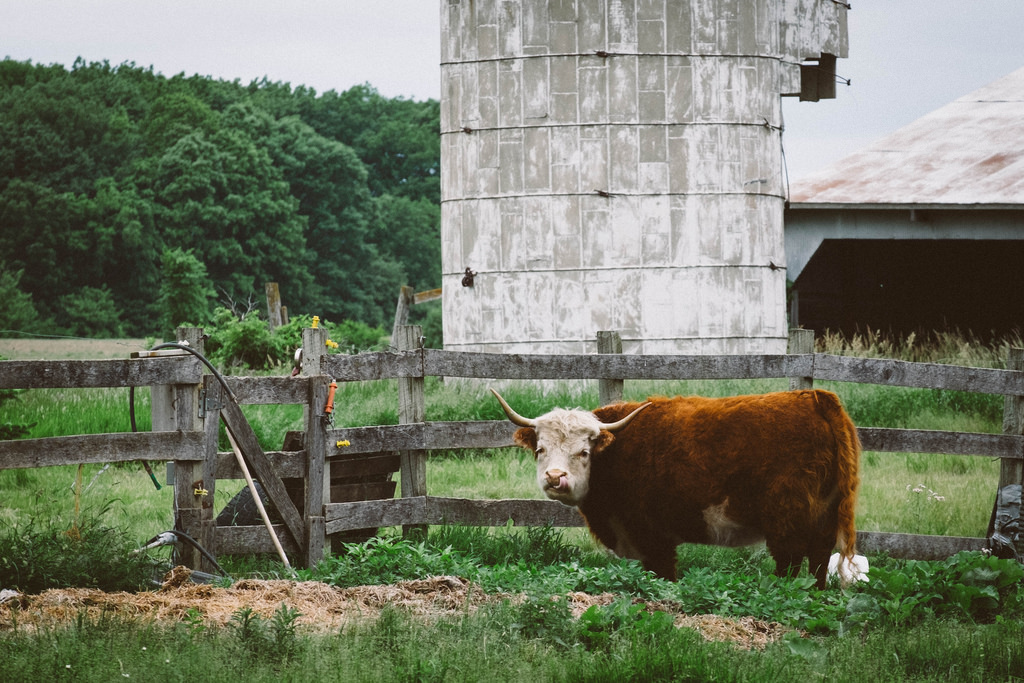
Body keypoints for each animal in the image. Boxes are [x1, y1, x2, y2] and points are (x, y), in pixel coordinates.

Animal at [491, 389, 860, 589]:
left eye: (583, 451)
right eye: (541, 449)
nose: (556, 477)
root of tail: (816, 398)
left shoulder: (654, 538)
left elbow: (663, 576)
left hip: (787, 522)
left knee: (790, 563)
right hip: (823, 518)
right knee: (818, 563)